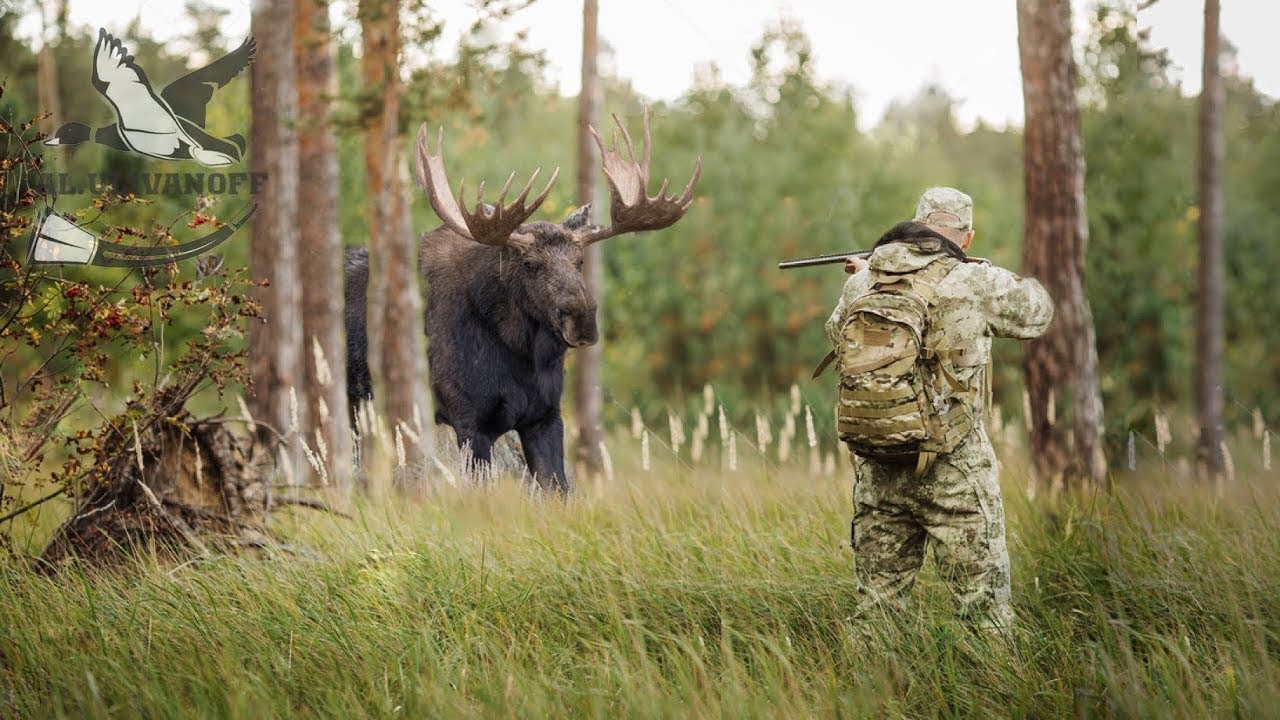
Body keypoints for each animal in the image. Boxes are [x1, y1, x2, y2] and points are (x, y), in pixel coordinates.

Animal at [345, 109, 701, 489]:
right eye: (529, 263)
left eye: (580, 261)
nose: (582, 320)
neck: (520, 354)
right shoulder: (468, 419)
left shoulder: (546, 416)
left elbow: (558, 488)